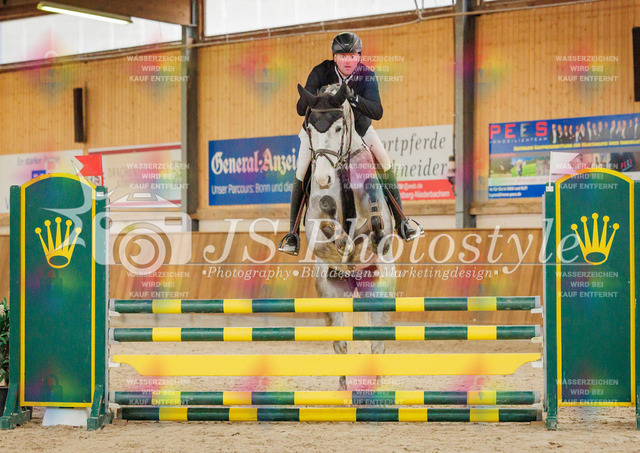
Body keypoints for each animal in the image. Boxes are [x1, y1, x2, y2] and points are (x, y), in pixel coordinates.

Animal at [297, 82, 396, 390]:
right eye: (309, 128)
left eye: (339, 127)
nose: (323, 179)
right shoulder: (314, 229)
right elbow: (327, 224)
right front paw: (341, 238)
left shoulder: (380, 223)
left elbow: (374, 223)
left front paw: (362, 238)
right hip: (331, 292)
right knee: (340, 345)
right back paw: (342, 390)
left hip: (380, 288)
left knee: (378, 343)